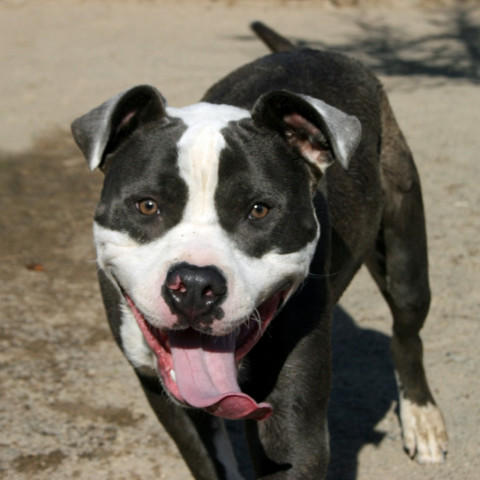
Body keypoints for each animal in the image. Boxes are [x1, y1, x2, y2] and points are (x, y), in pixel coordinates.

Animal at [70, 21, 446, 480]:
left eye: (259, 210)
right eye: (147, 205)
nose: (194, 284)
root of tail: (312, 50)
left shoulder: (290, 417)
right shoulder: (168, 398)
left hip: (404, 242)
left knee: (407, 331)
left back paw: (422, 419)